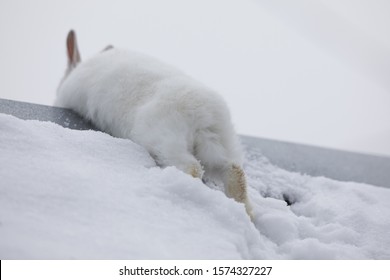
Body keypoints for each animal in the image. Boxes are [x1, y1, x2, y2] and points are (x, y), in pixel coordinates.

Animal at [56, 30, 254, 219]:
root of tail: (205, 115)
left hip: (166, 139)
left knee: (192, 168)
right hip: (223, 142)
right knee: (234, 171)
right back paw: (247, 213)